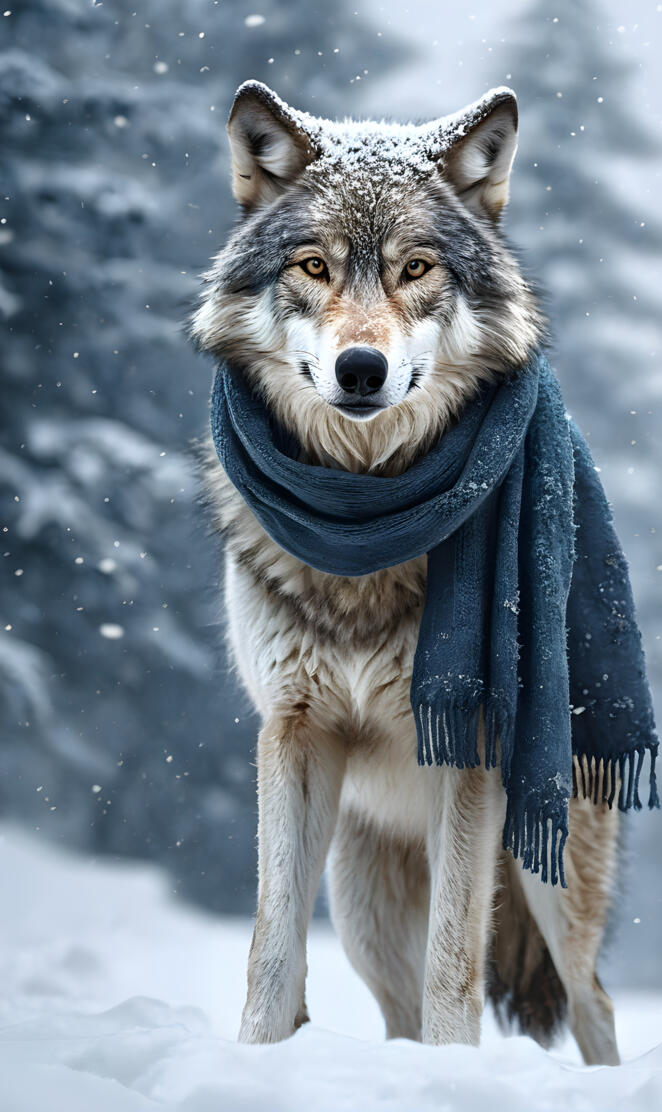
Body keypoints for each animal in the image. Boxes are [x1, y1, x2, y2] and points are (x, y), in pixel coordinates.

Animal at [193, 80, 622, 1064]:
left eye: (416, 268)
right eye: (313, 266)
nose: (361, 368)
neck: (365, 519)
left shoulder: (471, 749)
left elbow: (455, 961)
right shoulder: (295, 729)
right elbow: (271, 948)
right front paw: (257, 1059)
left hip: (551, 858)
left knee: (594, 1002)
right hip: (364, 906)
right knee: (394, 1008)